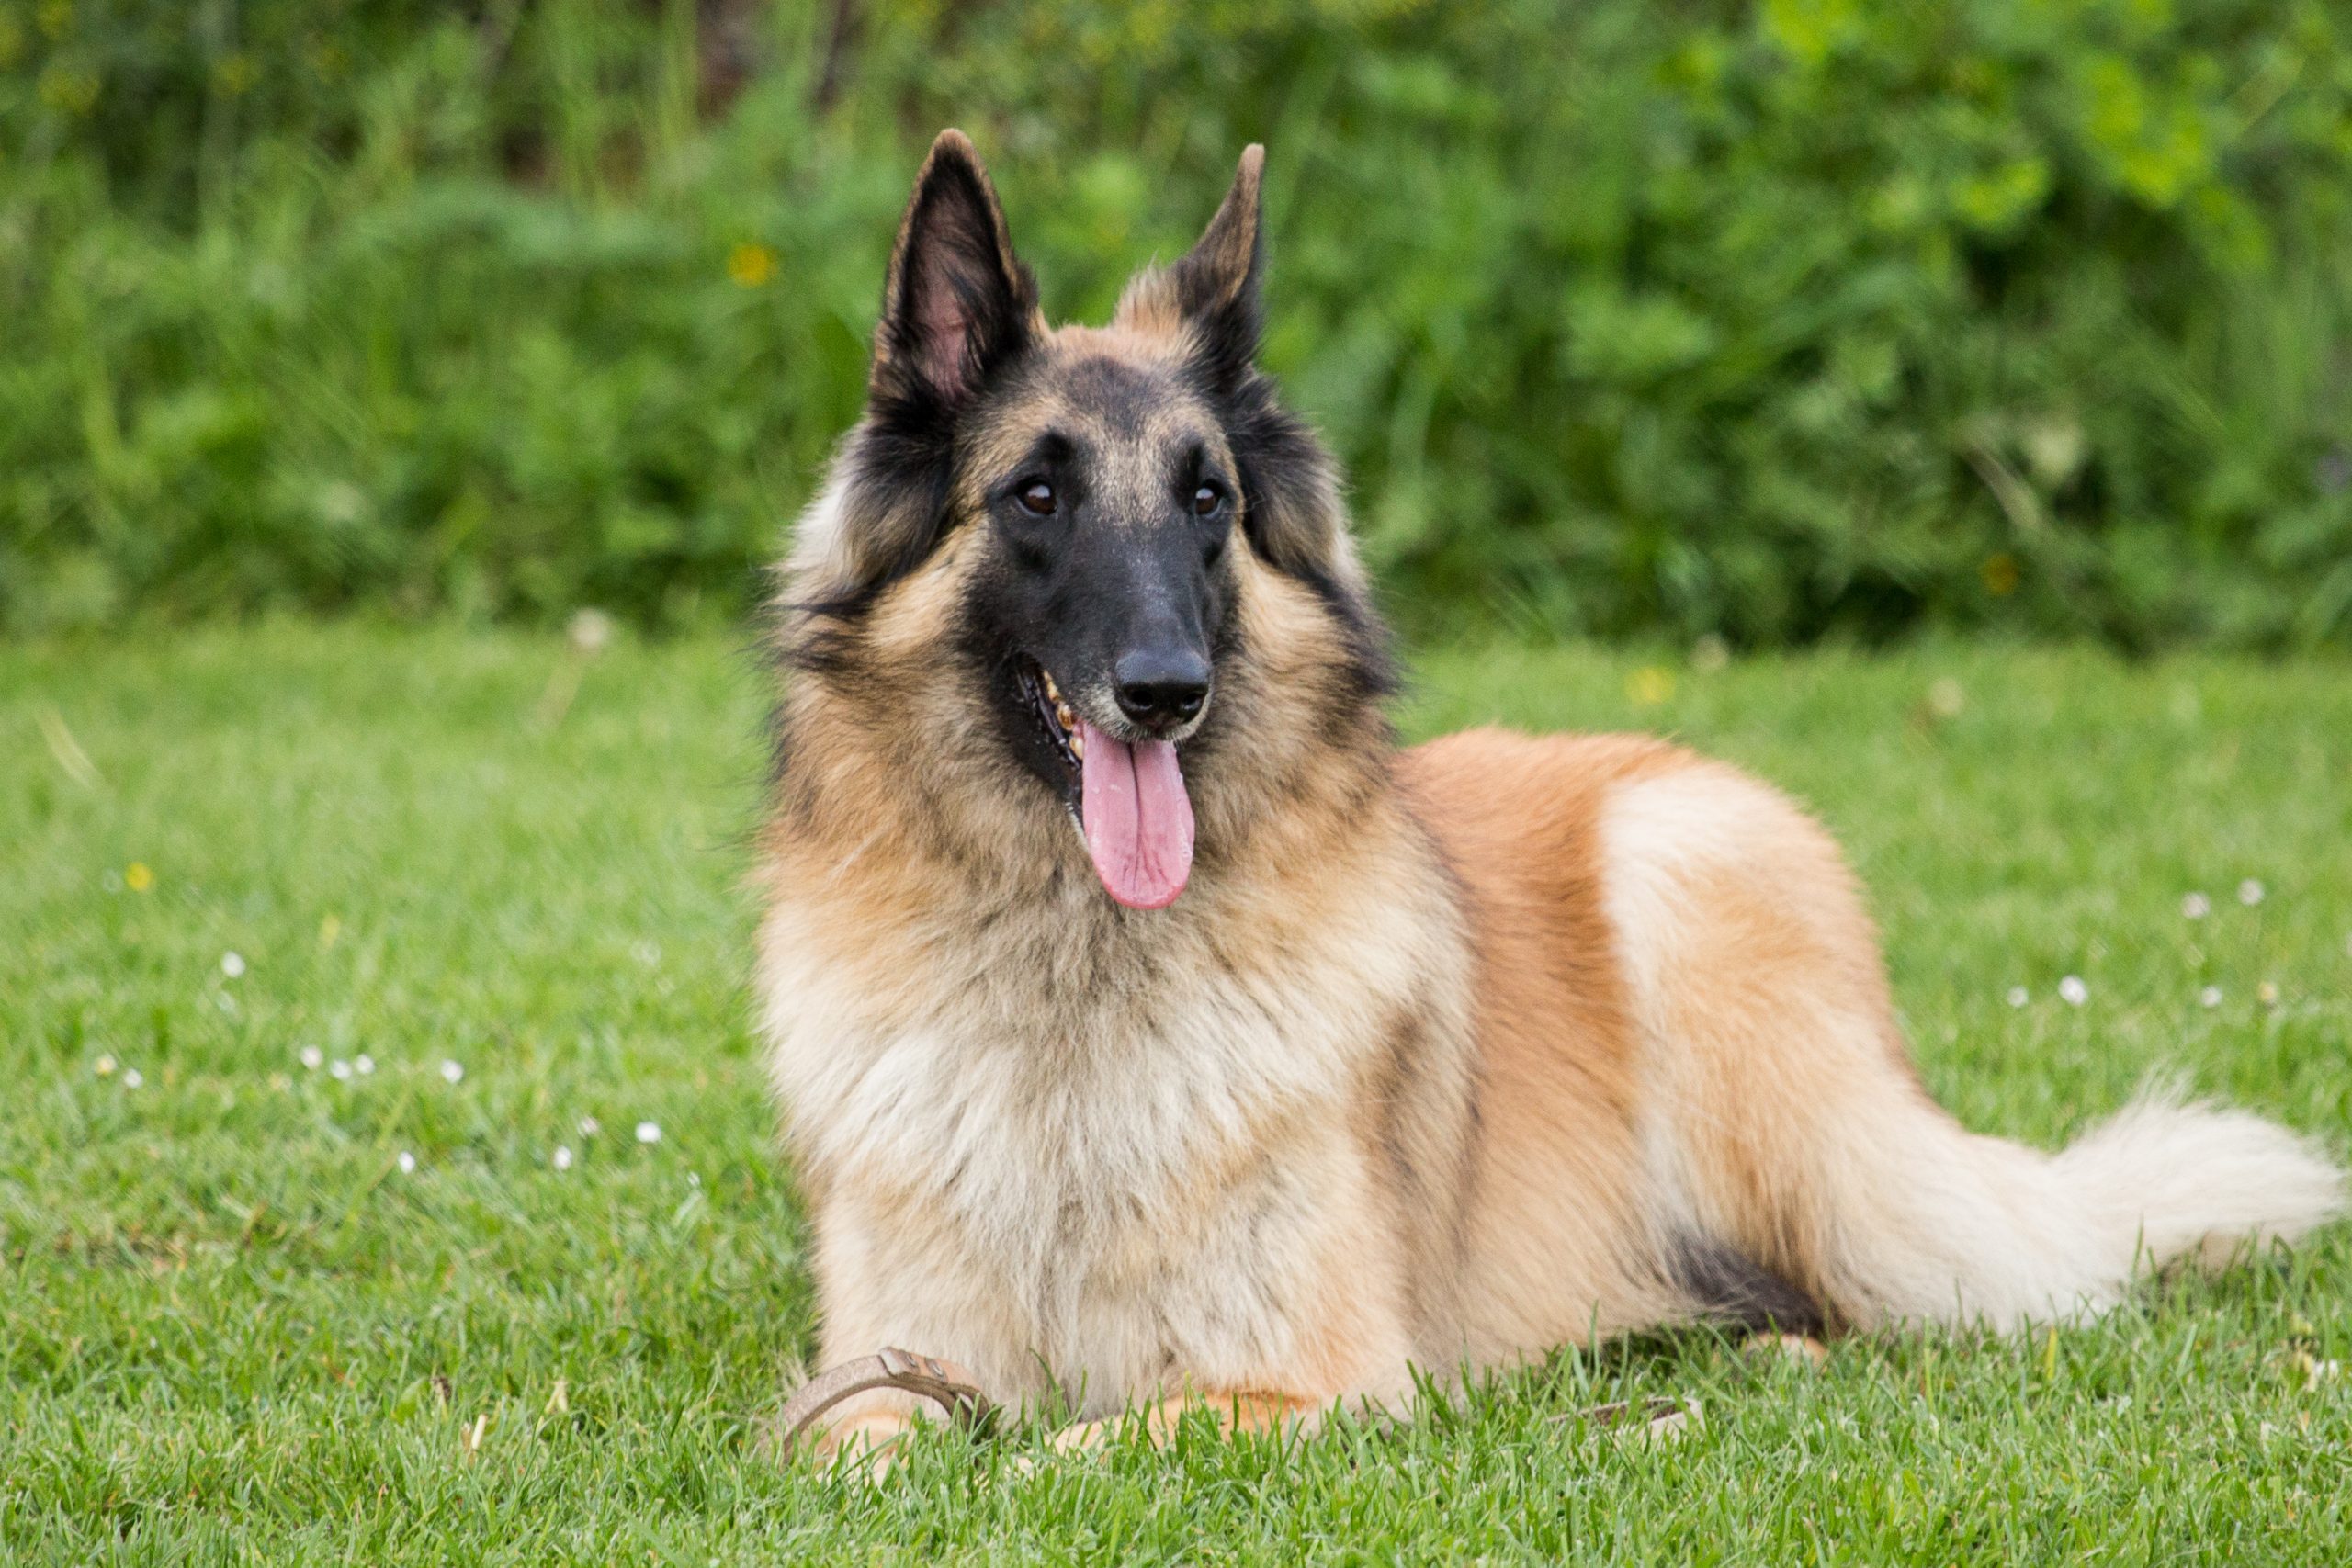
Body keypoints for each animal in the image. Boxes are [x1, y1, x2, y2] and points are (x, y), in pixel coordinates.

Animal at [757, 129, 2352, 1466]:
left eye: (1208, 500)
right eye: (1036, 495)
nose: (1166, 690)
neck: (1074, 977)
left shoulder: (1325, 1377)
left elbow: (1072, 1446)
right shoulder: (884, 1358)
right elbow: (866, 1441)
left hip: (1693, 904)